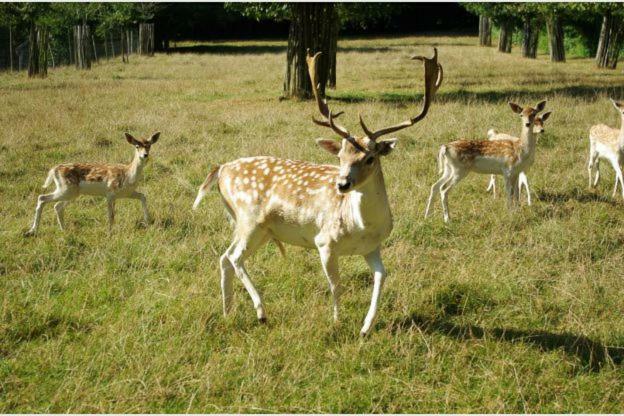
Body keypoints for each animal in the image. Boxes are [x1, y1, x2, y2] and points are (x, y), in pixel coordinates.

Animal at [24, 133, 161, 237]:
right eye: (137, 146)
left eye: (149, 146)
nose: (145, 155)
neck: (128, 175)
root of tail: (54, 170)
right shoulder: (110, 193)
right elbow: (111, 215)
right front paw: (109, 233)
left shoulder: (127, 193)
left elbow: (143, 196)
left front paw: (148, 221)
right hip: (66, 189)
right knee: (42, 198)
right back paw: (32, 231)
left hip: (71, 193)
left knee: (57, 206)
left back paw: (63, 230)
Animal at [195, 49, 444, 334]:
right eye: (340, 156)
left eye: (370, 158)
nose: (342, 184)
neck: (361, 226)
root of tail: (222, 169)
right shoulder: (324, 242)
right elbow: (336, 285)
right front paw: (337, 321)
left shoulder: (372, 247)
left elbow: (382, 277)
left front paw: (366, 327)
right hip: (250, 219)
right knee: (235, 257)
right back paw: (261, 312)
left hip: (259, 229)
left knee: (224, 257)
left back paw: (228, 312)